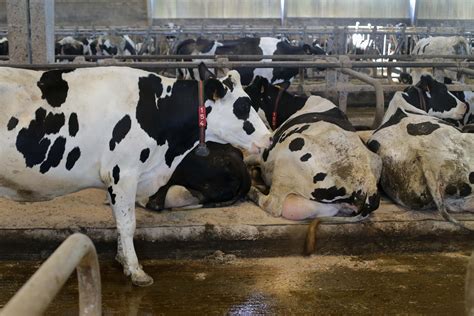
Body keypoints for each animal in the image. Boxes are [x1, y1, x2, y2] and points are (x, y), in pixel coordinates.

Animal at [0, 63, 272, 286]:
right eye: (243, 106)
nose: (269, 138)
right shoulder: (123, 172)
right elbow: (128, 223)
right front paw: (136, 270)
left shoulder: (118, 179)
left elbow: (120, 220)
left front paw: (123, 260)